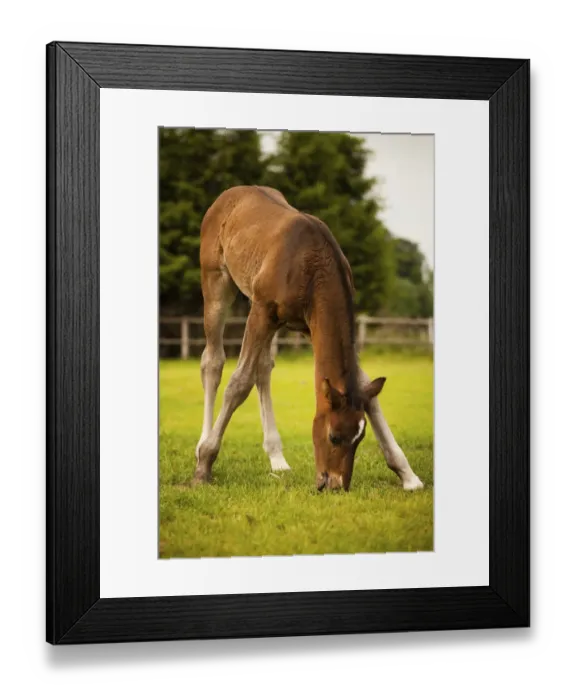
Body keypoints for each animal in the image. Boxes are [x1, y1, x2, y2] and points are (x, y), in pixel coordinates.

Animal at [193, 185, 424, 492]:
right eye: (333, 436)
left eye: (360, 438)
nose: (335, 485)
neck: (310, 263)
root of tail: (229, 195)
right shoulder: (262, 311)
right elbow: (239, 383)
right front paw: (204, 465)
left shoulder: (307, 324)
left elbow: (366, 388)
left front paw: (408, 475)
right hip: (217, 283)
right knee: (213, 361)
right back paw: (201, 446)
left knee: (263, 368)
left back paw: (277, 459)